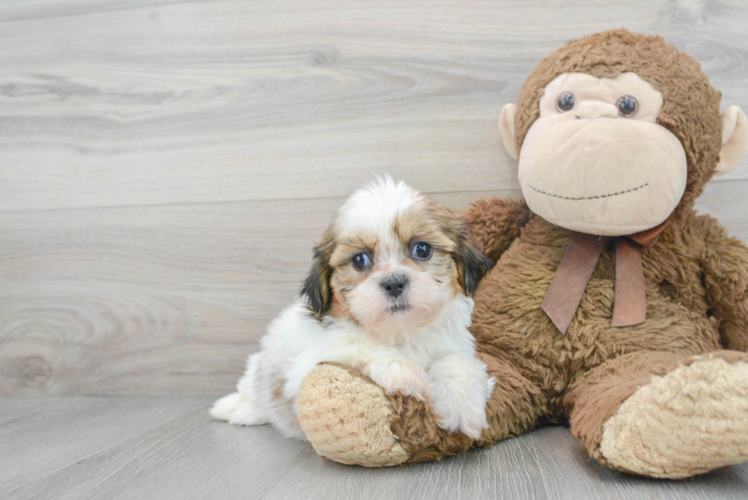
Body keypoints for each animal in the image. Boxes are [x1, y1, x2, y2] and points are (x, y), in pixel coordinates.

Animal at [209, 176, 496, 438]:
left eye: (422, 249)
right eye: (359, 260)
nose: (394, 283)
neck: (400, 332)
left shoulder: (456, 345)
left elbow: (454, 361)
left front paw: (460, 404)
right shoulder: (305, 367)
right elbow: (355, 342)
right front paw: (403, 370)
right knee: (250, 391)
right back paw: (238, 409)